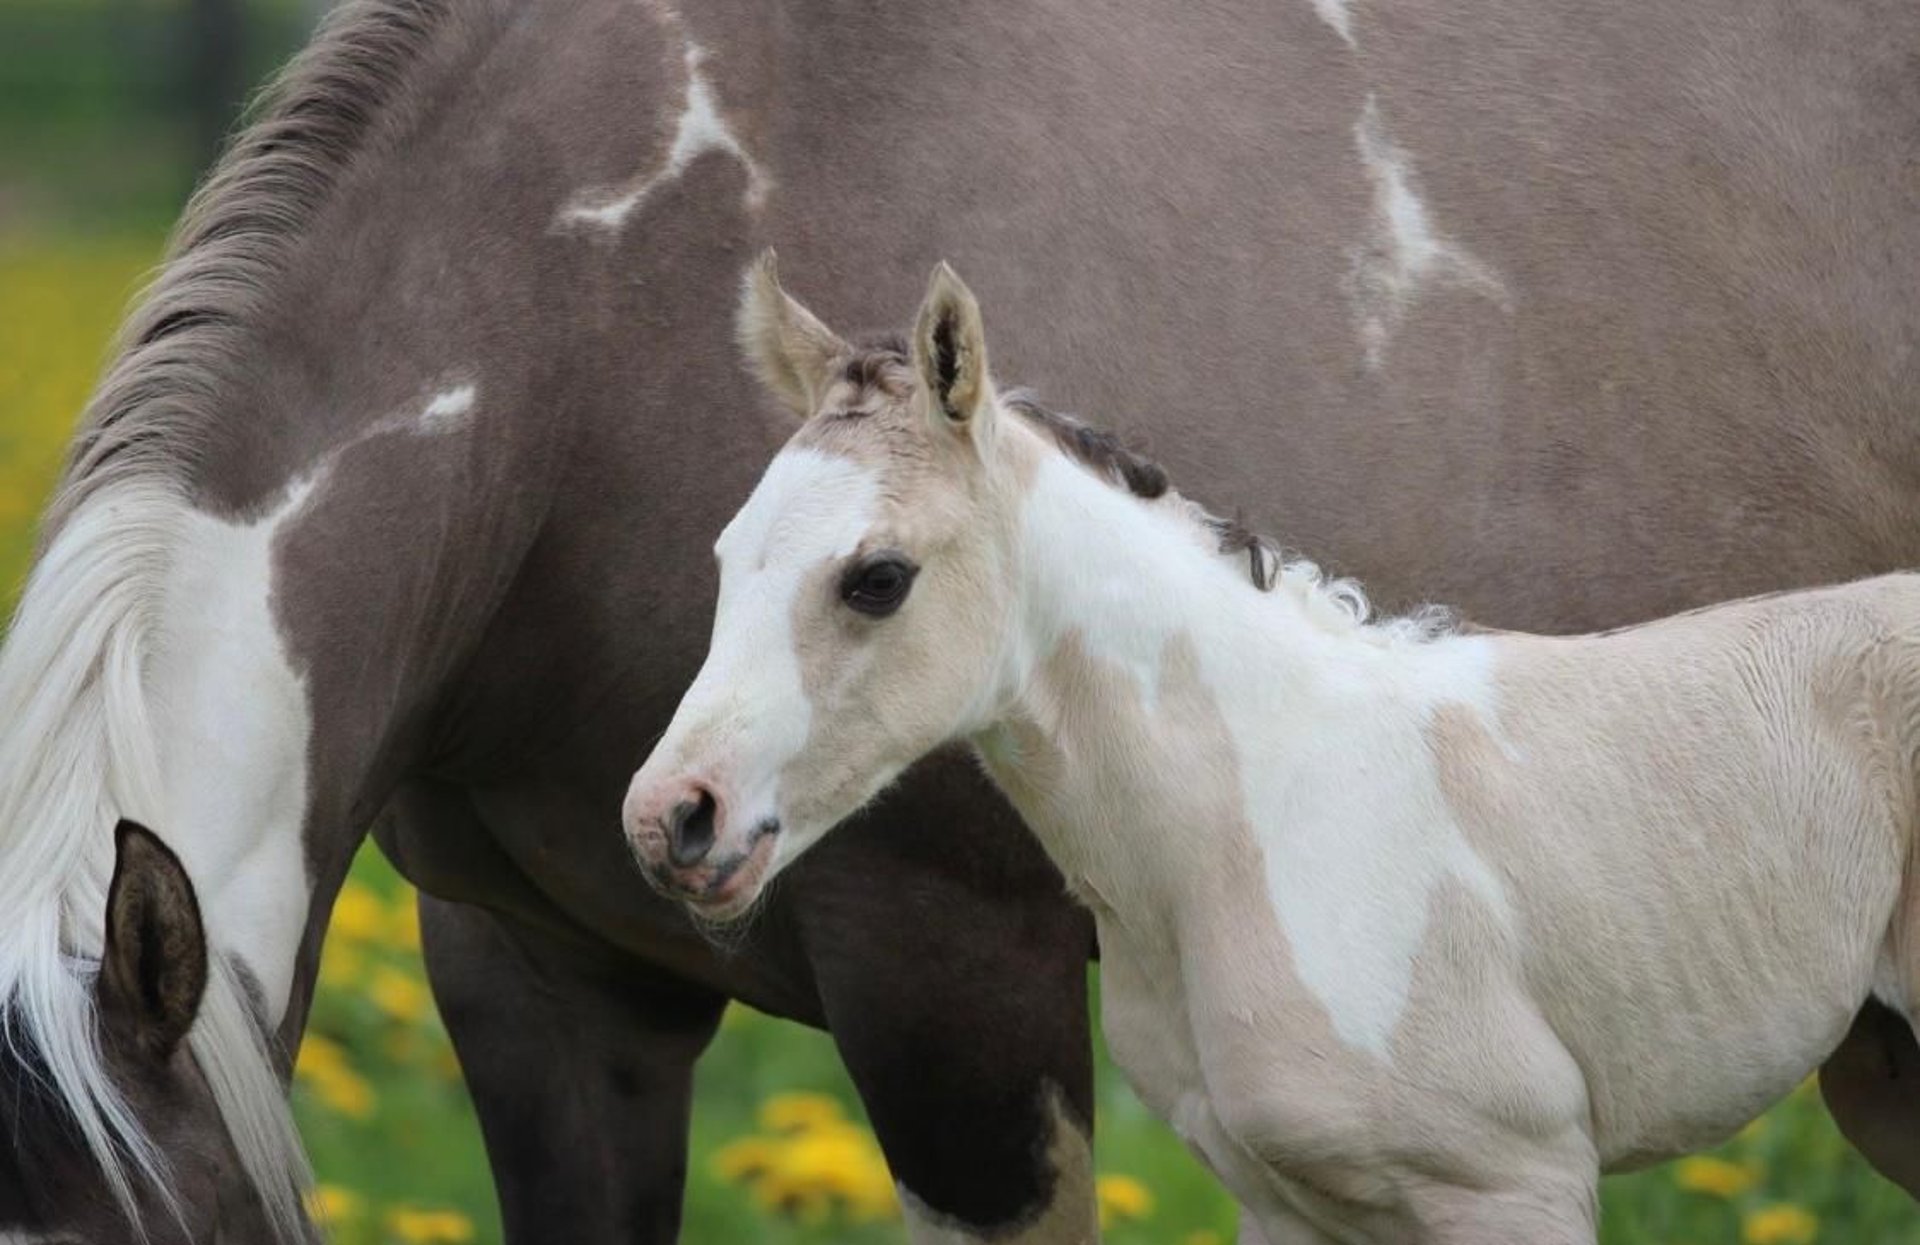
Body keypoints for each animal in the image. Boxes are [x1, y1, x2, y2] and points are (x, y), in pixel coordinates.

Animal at [629, 255, 1920, 1245]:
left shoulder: (1516, 1183)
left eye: (877, 578)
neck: (1253, 826)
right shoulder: (1284, 1205)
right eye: (726, 552)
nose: (674, 816)